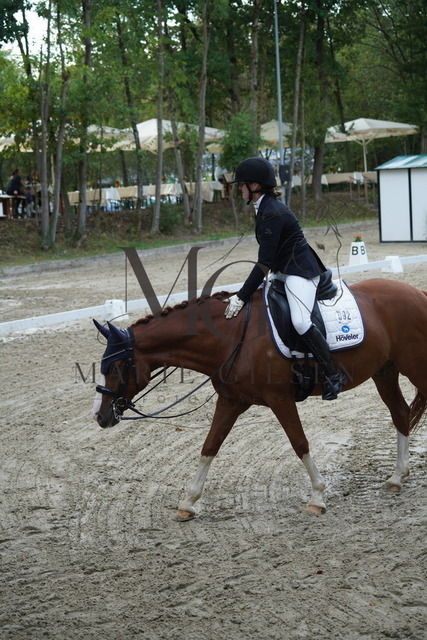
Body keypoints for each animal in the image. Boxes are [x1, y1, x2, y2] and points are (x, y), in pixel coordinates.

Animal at [92, 278, 427, 521]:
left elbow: (299, 443)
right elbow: (209, 447)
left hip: (414, 367)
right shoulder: (231, 401)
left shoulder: (280, 399)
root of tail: (416, 292)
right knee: (399, 413)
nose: (101, 416)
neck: (230, 336)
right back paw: (397, 477)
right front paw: (188, 503)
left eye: (116, 367)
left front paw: (317, 496)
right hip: (385, 372)